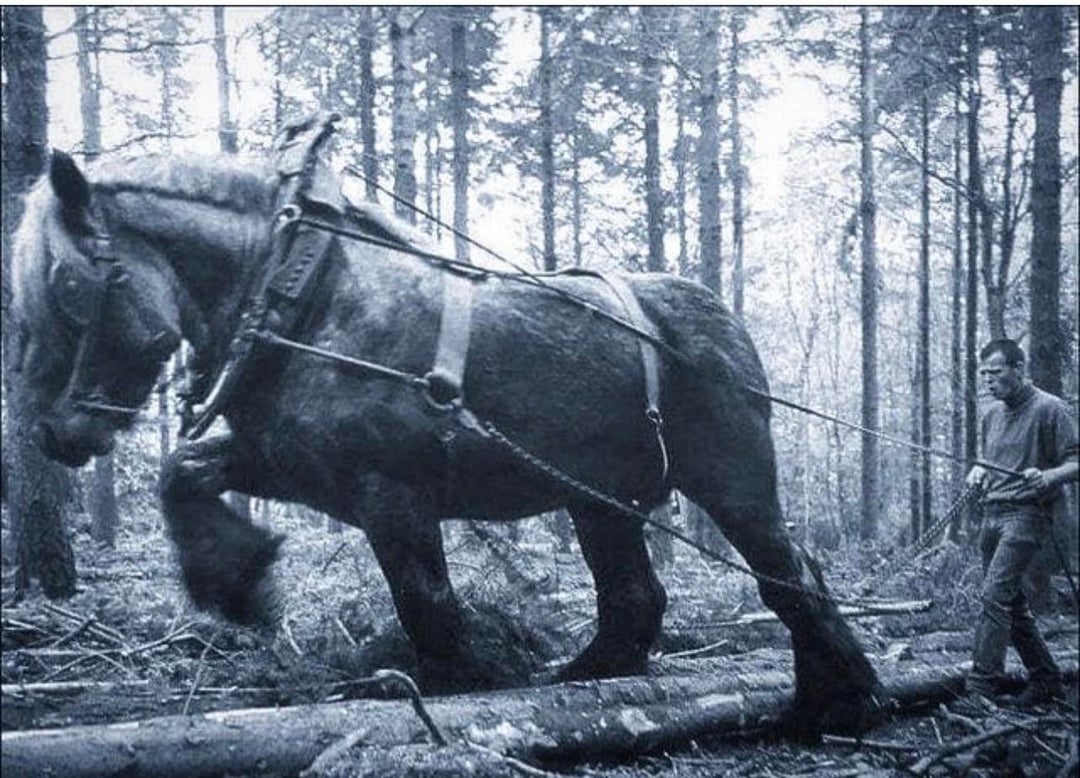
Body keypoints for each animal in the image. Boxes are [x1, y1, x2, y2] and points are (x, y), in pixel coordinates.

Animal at [10, 148, 882, 734]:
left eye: (67, 285)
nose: (53, 433)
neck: (307, 300)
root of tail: (717, 314)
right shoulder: (300, 469)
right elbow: (182, 470)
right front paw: (236, 580)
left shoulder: (390, 492)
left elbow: (425, 600)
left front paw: (459, 682)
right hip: (601, 500)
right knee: (636, 593)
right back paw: (595, 678)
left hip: (733, 482)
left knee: (789, 573)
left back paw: (841, 700)